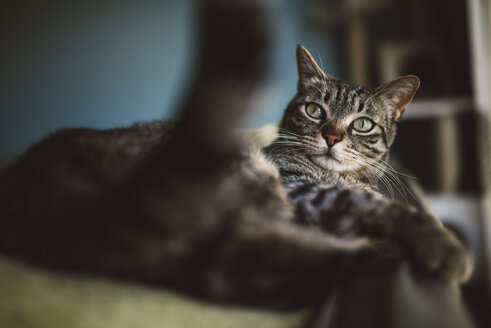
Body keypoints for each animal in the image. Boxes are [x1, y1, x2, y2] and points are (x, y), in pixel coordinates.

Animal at [0, 0, 470, 310]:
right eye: (315, 111)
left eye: (363, 125)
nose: (333, 136)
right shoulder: (295, 187)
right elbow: (368, 203)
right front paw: (442, 243)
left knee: (226, 271)